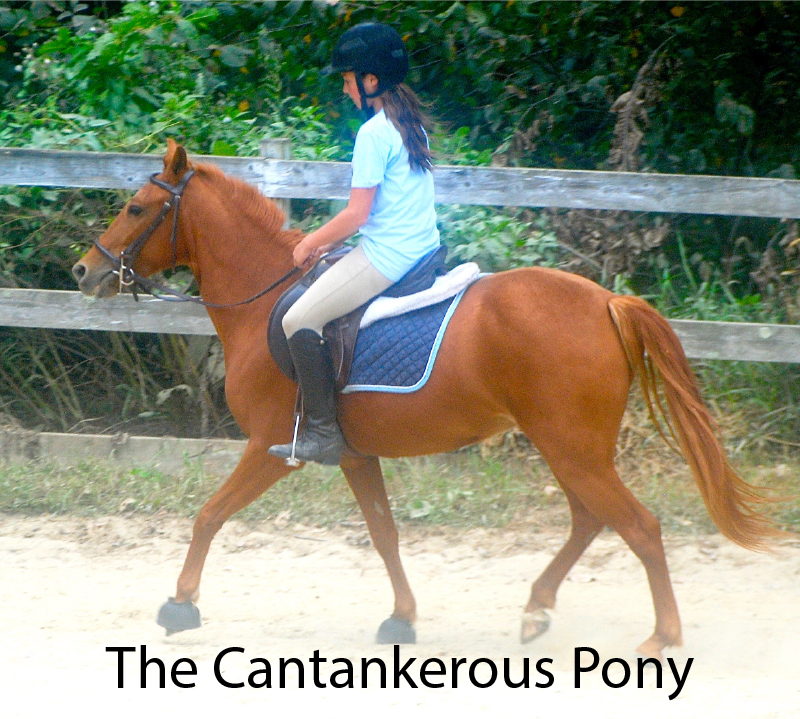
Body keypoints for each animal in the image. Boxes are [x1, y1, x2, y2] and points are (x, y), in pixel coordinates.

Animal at [72, 140, 775, 659]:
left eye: (135, 207)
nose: (84, 271)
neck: (266, 295)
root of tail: (607, 301)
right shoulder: (354, 454)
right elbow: (385, 534)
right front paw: (401, 620)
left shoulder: (273, 445)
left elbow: (208, 515)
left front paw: (179, 605)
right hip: (570, 447)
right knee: (590, 519)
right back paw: (537, 610)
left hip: (572, 447)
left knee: (640, 527)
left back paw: (662, 637)